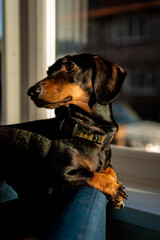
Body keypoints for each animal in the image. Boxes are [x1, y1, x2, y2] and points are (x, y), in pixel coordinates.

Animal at [0, 53, 127, 207]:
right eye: (48, 72)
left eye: (69, 65)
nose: (31, 91)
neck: (90, 133)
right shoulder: (54, 180)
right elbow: (89, 173)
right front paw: (113, 186)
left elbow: (110, 169)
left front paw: (116, 191)